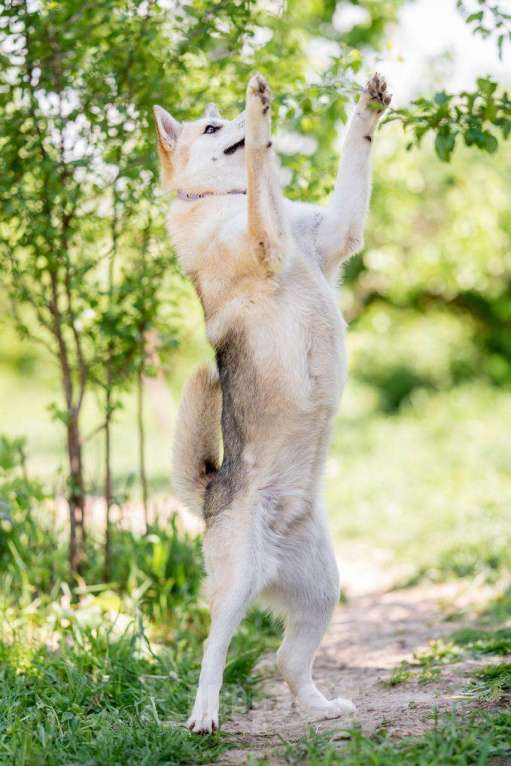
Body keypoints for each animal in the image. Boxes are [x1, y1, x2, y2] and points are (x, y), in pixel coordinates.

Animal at [152, 73, 392, 736]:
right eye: (212, 127)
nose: (238, 114)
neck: (220, 199)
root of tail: (212, 492)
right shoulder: (267, 237)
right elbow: (262, 171)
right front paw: (258, 119)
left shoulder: (333, 234)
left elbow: (353, 152)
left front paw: (368, 108)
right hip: (236, 589)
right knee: (213, 650)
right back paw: (203, 715)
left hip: (323, 590)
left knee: (288, 661)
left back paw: (321, 708)